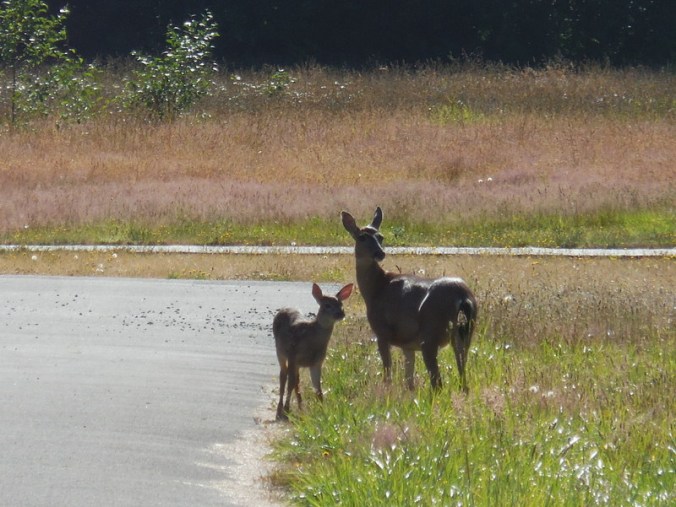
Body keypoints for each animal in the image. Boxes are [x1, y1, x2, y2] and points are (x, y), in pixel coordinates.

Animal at [273, 282, 354, 420]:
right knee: (284, 376)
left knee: (296, 380)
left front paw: (324, 411)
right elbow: (290, 383)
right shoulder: (293, 356)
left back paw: (300, 407)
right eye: (327, 305)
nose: (341, 314)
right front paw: (286, 409)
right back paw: (280, 409)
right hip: (281, 352)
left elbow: (318, 388)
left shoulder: (316, 363)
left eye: (341, 304)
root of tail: (284, 308)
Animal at [341, 207, 477, 392]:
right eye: (362, 237)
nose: (380, 253)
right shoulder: (408, 344)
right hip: (465, 334)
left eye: (380, 237)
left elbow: (388, 373)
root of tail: (463, 298)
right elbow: (409, 381)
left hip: (430, 334)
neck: (376, 288)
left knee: (438, 382)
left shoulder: (382, 332)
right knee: (463, 378)